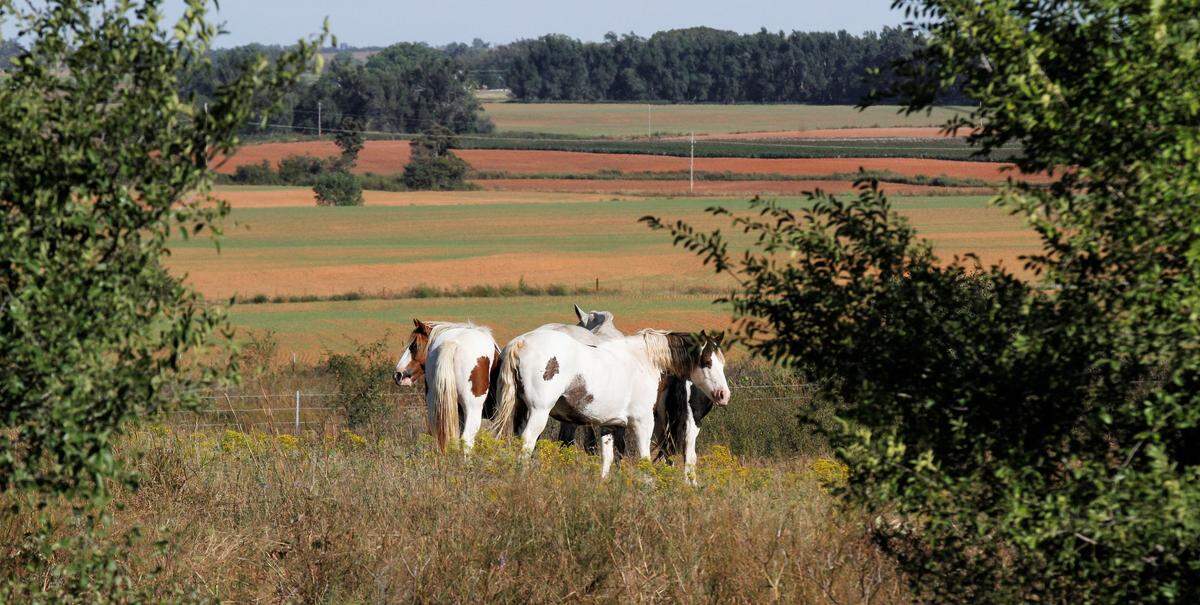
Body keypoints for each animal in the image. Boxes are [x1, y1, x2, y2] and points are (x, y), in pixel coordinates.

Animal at [491, 329, 730, 477]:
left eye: (722, 363)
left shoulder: (610, 425)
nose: (724, 395)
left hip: (520, 412)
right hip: (538, 412)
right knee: (527, 444)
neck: (644, 360)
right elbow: (644, 459)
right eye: (707, 362)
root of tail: (521, 342)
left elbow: (608, 459)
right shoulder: (642, 423)